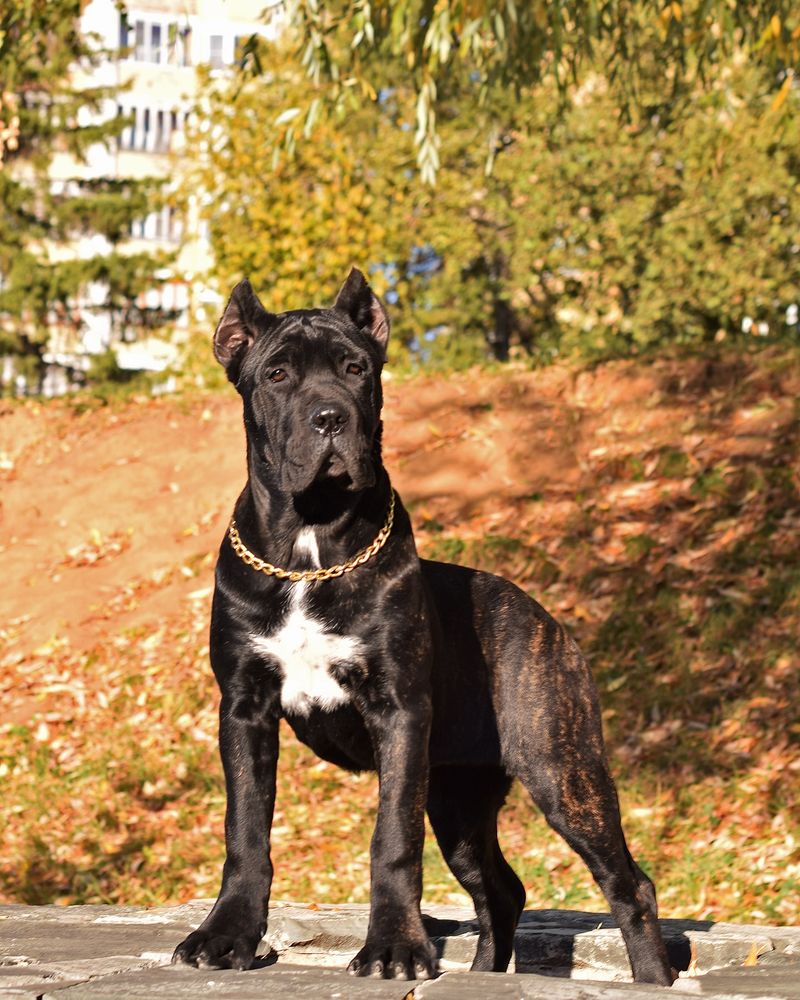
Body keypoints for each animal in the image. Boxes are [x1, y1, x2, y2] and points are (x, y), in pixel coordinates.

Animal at [173, 272, 676, 984]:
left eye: (356, 369)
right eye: (276, 374)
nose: (330, 417)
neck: (310, 546)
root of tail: (548, 619)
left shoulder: (399, 711)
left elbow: (392, 839)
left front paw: (393, 949)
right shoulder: (245, 708)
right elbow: (245, 829)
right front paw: (226, 936)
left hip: (561, 769)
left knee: (628, 883)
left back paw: (652, 978)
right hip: (459, 797)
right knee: (501, 888)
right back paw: (486, 972)